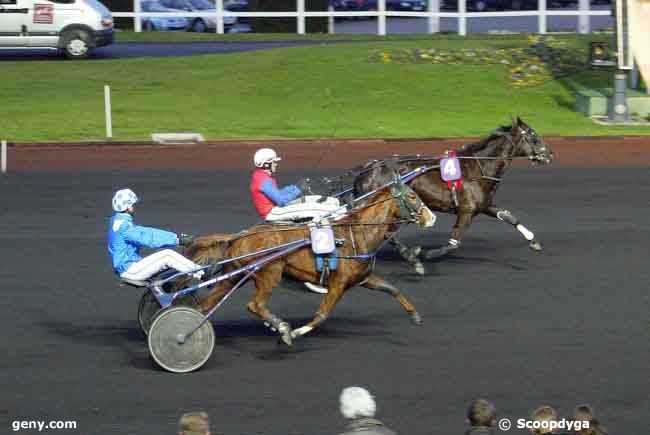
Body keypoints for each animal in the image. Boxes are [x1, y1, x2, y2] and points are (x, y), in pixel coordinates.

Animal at [185, 179, 432, 346]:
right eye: (412, 196)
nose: (430, 217)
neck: (355, 235)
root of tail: (240, 236)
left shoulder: (363, 277)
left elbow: (392, 289)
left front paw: (415, 315)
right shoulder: (338, 283)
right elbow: (322, 315)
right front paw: (294, 333)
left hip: (235, 274)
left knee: (206, 305)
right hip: (270, 272)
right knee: (255, 305)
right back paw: (281, 327)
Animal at [350, 117, 552, 274]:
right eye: (534, 137)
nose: (549, 154)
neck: (478, 167)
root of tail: (367, 169)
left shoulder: (484, 205)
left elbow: (510, 217)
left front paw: (533, 241)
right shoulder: (466, 211)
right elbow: (453, 243)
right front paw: (423, 253)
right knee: (385, 234)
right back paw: (412, 259)